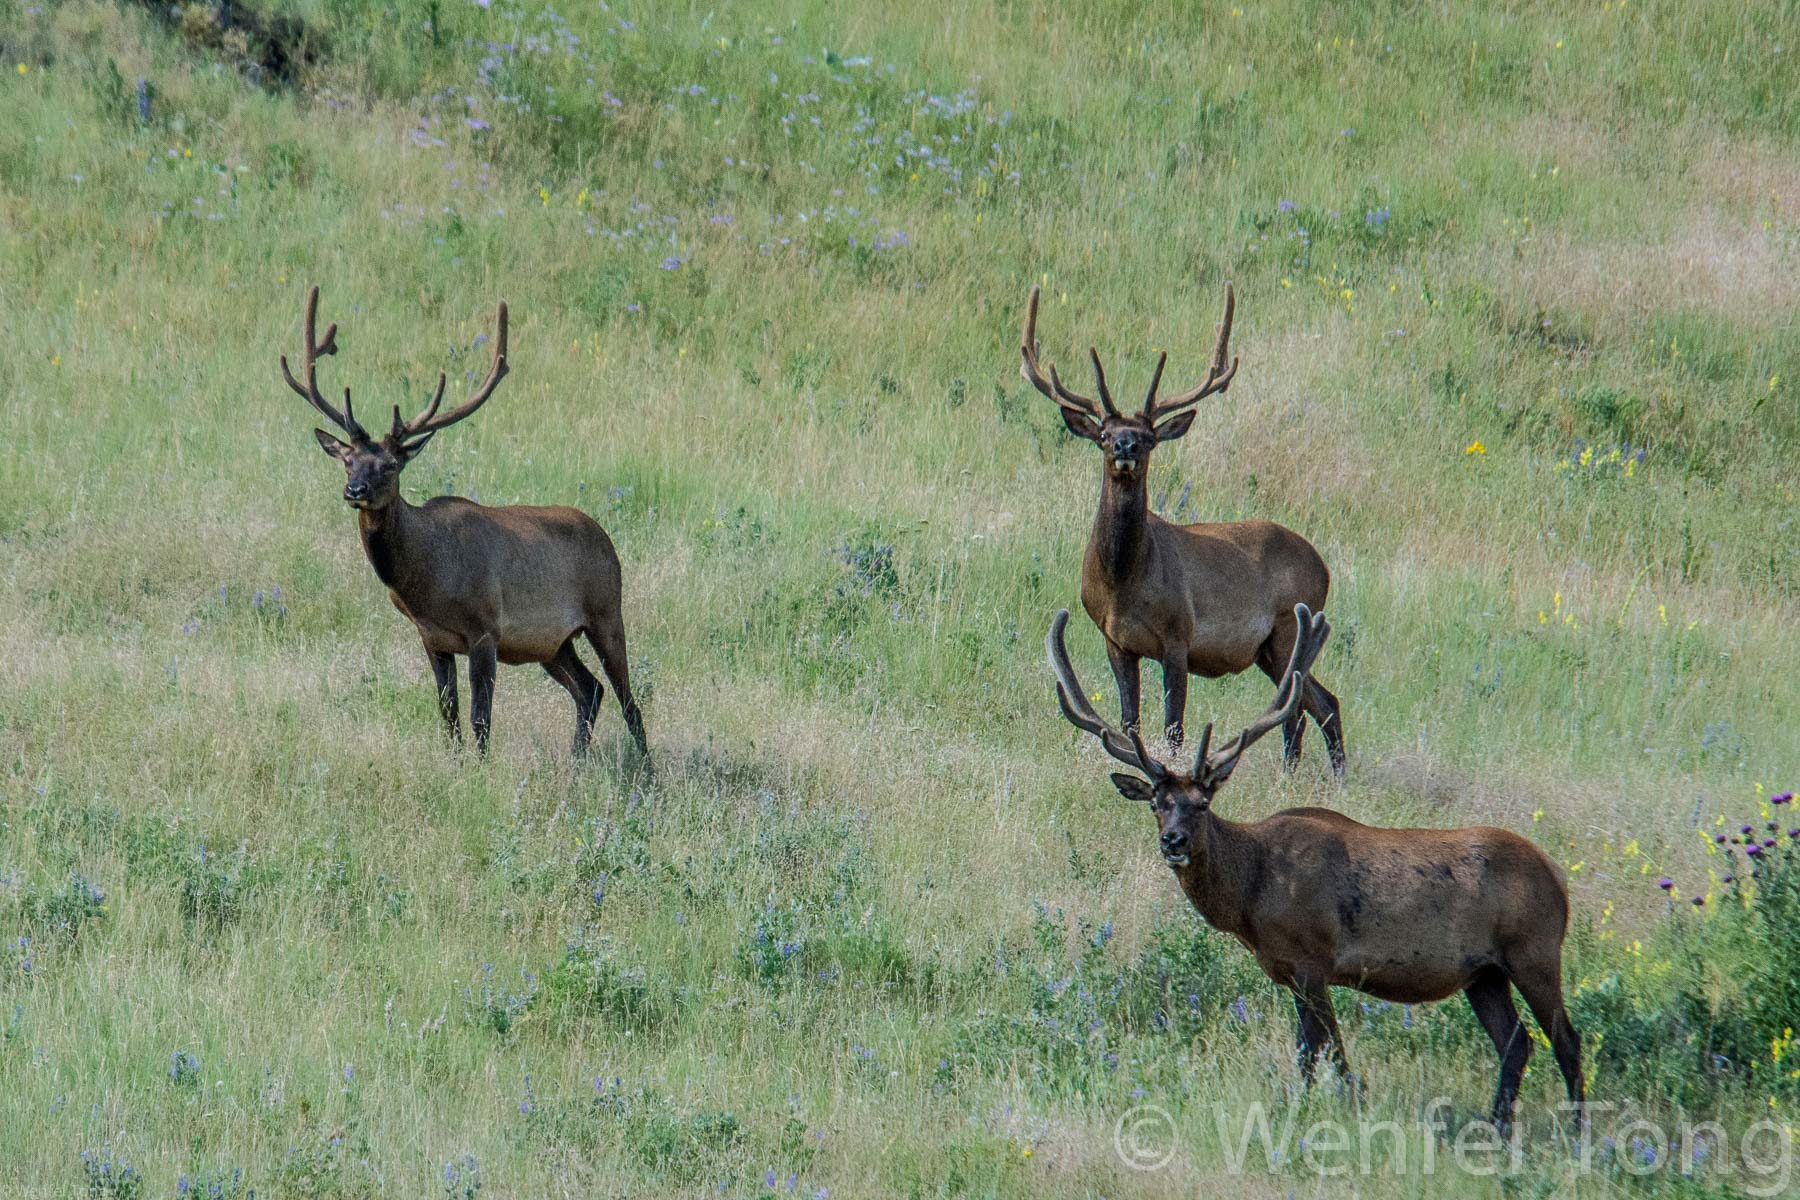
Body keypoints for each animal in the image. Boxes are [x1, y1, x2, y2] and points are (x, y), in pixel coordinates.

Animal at [280, 286, 648, 755]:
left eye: (391, 466)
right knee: (590, 689)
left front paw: (481, 767)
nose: (355, 491)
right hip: (553, 642)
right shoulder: (432, 638)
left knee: (628, 700)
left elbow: (480, 719)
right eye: (348, 461)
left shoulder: (485, 629)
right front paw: (456, 764)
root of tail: (606, 539)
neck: (428, 580)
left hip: (606, 611)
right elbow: (449, 715)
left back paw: (644, 767)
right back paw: (577, 760)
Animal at [1022, 284, 1346, 770]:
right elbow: (1130, 721)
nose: (1125, 446)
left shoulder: (1179, 636)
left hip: (1289, 627)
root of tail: (1323, 566)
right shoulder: (1116, 641)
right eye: (1104, 435)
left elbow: (1173, 727)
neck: (1124, 583)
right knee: (1320, 703)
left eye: (1149, 437)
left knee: (1303, 710)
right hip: (1269, 649)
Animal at [1051, 604, 1584, 1129]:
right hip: (1484, 974)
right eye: (1156, 804)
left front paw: (1326, 1110)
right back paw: (1497, 1126)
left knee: (1566, 1041)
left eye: (1202, 804)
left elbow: (1323, 1054)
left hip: (1534, 951)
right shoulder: (1290, 970)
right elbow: (1315, 1053)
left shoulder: (1313, 960)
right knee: (1517, 1042)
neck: (1251, 900)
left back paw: (1575, 1130)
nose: (1173, 841)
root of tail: (1558, 877)